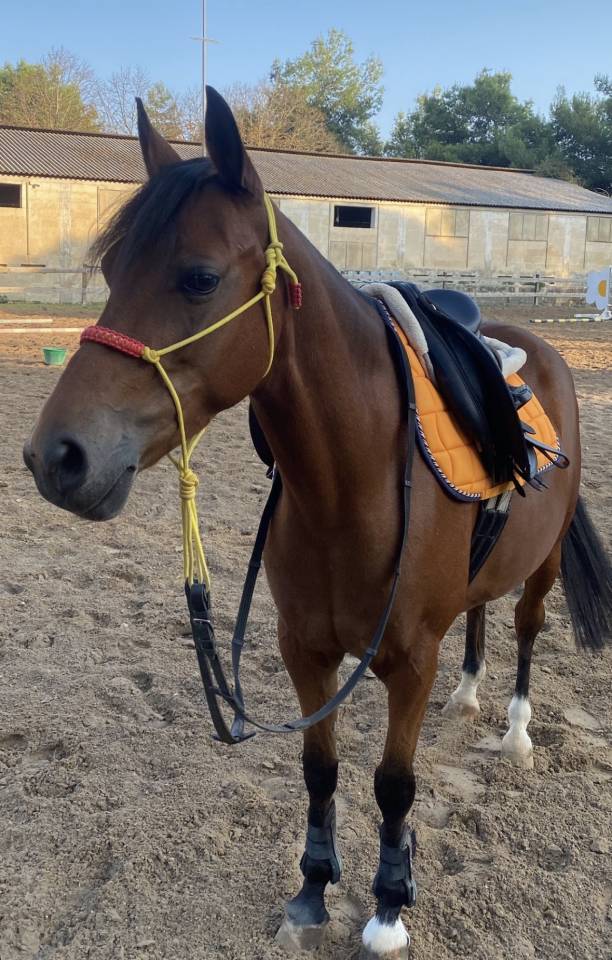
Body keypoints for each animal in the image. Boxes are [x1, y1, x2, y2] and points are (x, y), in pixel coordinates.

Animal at [23, 88, 612, 959]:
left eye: (199, 277)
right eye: (110, 271)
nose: (56, 457)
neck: (352, 484)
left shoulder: (408, 660)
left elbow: (393, 784)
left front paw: (389, 908)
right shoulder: (303, 647)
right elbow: (319, 769)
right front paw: (310, 892)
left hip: (538, 578)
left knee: (528, 632)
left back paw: (513, 734)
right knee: (478, 617)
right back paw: (469, 698)